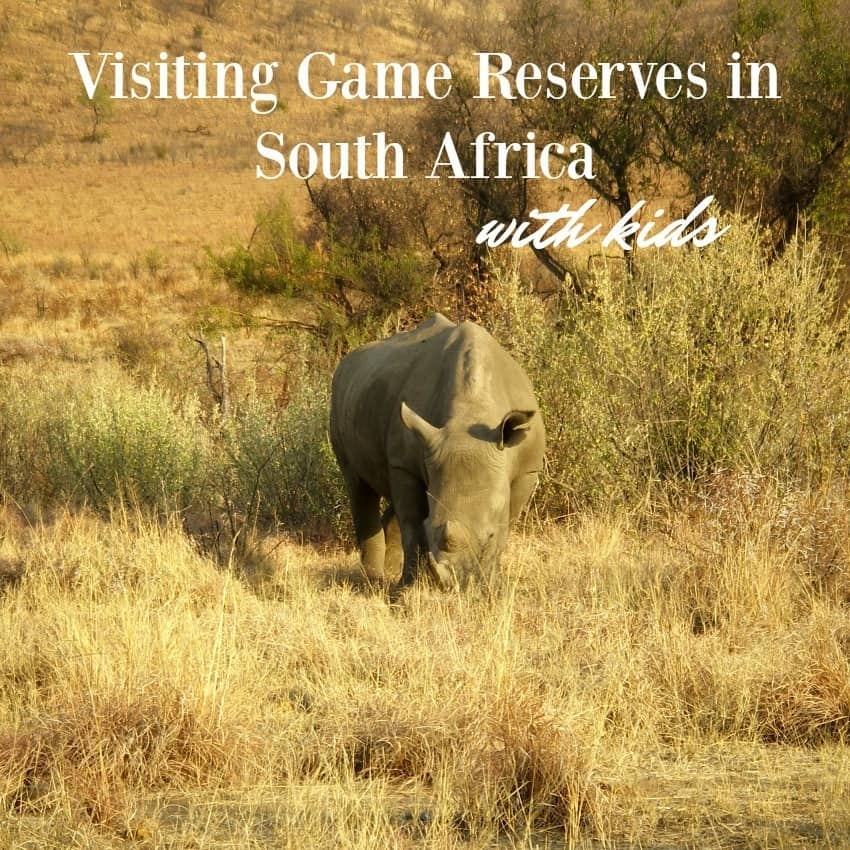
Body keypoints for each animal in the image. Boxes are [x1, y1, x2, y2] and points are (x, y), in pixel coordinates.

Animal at [330, 313, 545, 592]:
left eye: (490, 535)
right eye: (430, 528)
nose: (459, 586)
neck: (471, 413)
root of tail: (346, 362)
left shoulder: (527, 468)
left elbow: (508, 520)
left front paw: (494, 588)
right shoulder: (404, 463)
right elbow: (412, 526)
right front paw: (404, 591)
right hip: (341, 400)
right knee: (358, 485)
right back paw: (373, 581)